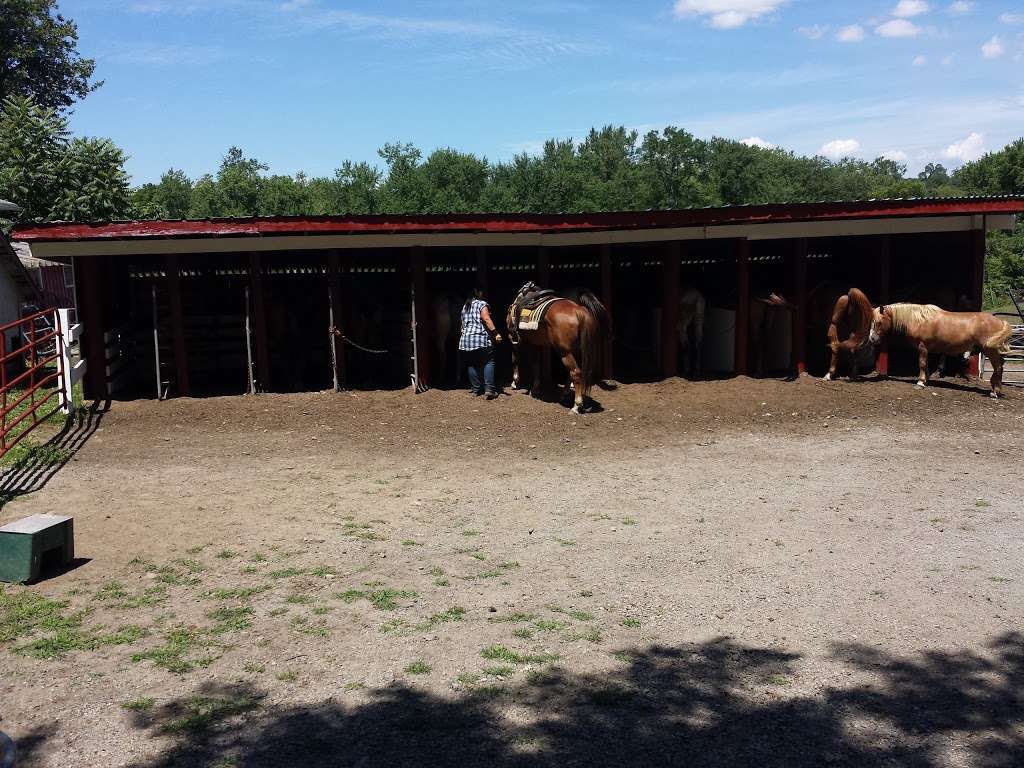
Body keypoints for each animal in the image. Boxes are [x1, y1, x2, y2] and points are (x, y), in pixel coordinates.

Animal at [507, 282, 610, 415]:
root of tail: (579, 311)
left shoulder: (515, 340)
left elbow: (515, 360)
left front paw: (515, 382)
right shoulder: (535, 343)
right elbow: (536, 364)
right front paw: (535, 388)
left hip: (564, 351)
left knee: (575, 372)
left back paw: (576, 405)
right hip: (574, 350)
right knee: (571, 373)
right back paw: (565, 395)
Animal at [868, 301, 1011, 397]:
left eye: (879, 322)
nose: (872, 339)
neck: (919, 320)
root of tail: (1000, 322)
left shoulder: (922, 347)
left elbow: (922, 364)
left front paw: (920, 383)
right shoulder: (927, 349)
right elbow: (926, 365)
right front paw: (926, 380)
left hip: (991, 351)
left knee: (998, 367)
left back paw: (995, 392)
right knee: (1001, 366)